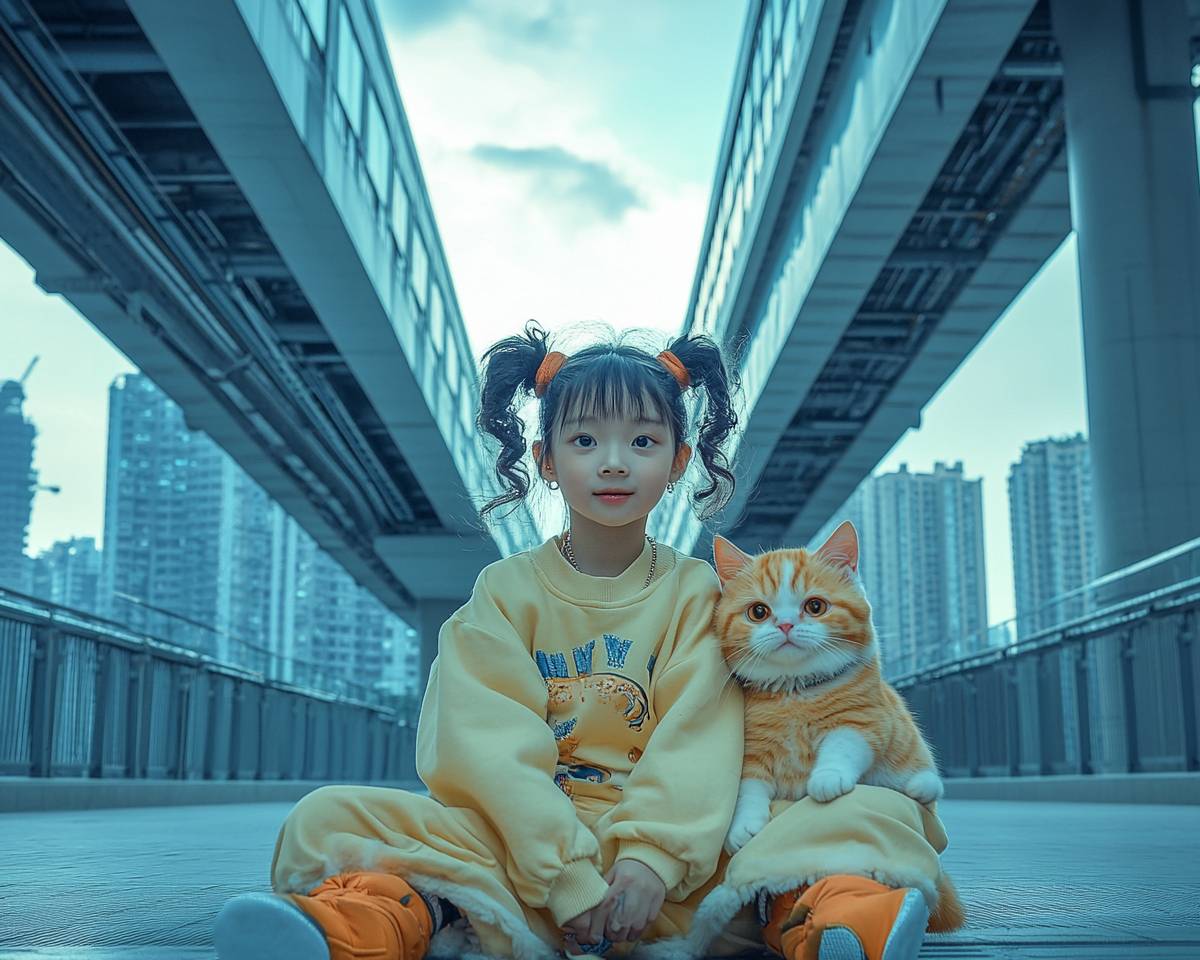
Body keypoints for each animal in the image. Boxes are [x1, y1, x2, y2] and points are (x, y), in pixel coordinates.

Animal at [710, 518, 964, 931]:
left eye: (815, 606)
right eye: (758, 612)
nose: (785, 624)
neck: (795, 693)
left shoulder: (863, 719)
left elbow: (842, 747)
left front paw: (827, 778)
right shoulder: (752, 745)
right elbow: (748, 786)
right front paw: (743, 825)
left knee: (923, 783)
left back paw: (920, 786)